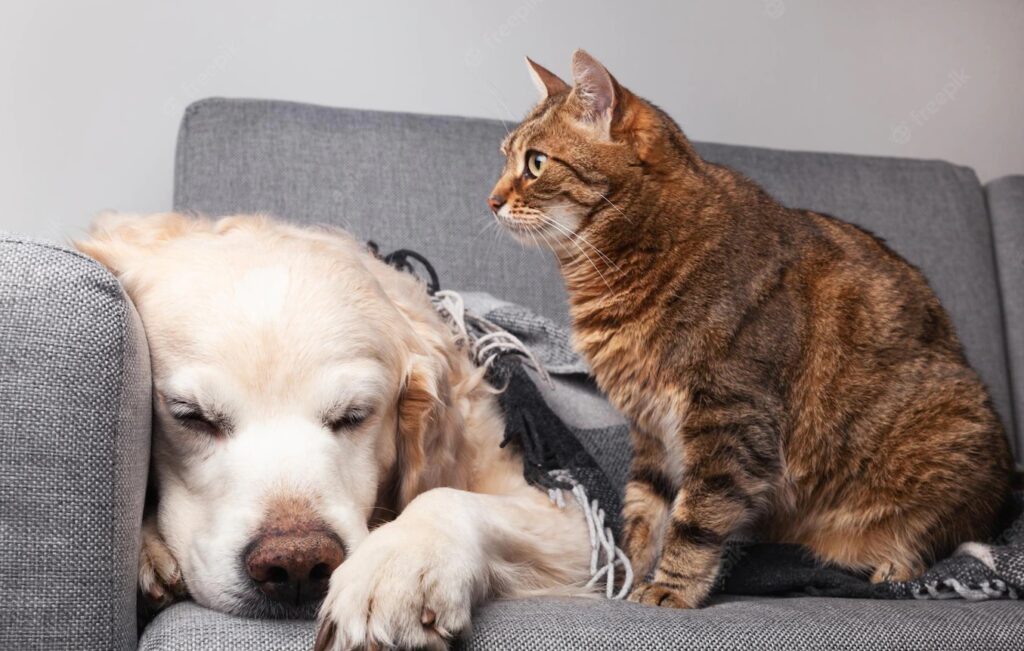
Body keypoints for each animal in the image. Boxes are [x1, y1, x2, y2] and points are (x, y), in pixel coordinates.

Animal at [77, 214, 593, 651]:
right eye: (191, 416)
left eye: (354, 415)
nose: (297, 565)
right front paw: (147, 549)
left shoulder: (576, 522)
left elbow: (447, 497)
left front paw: (400, 566)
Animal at [489, 48, 1015, 605]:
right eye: (505, 158)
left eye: (536, 163)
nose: (491, 200)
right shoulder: (652, 428)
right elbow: (644, 512)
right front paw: (630, 575)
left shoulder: (731, 419)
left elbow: (696, 517)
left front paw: (670, 588)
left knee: (930, 543)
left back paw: (891, 566)